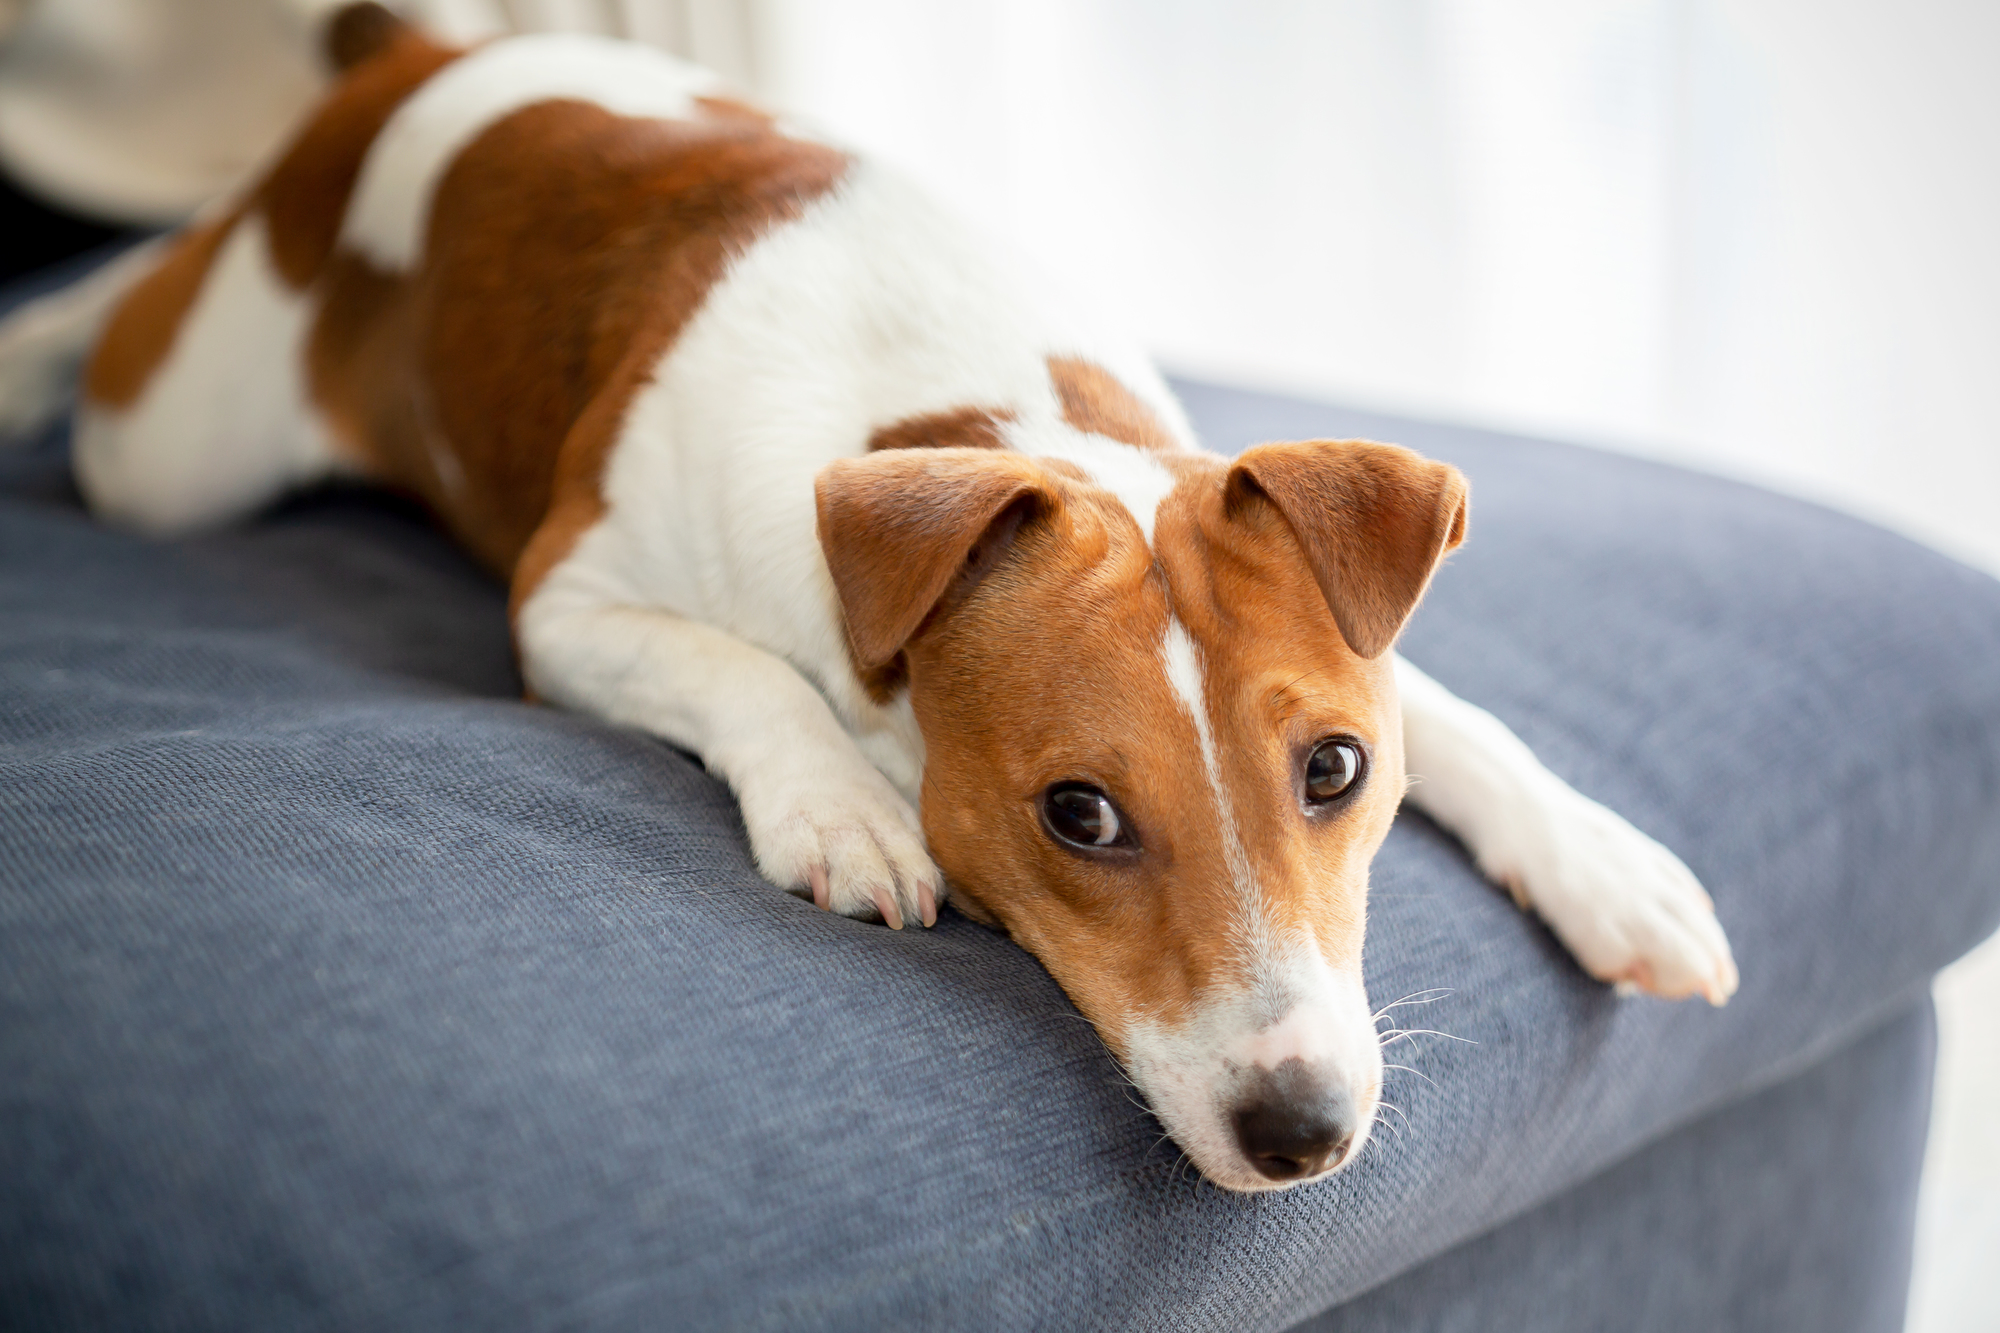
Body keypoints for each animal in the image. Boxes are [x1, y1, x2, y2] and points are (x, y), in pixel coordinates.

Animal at [0, 5, 1736, 1184]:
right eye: (1079, 814)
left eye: (1336, 771)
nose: (1302, 1130)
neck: (958, 416)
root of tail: (409, 58)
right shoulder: (569, 606)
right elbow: (751, 674)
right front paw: (844, 811)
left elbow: (1467, 716)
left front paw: (1613, 865)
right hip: (175, 446)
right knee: (147, 282)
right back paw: (36, 347)